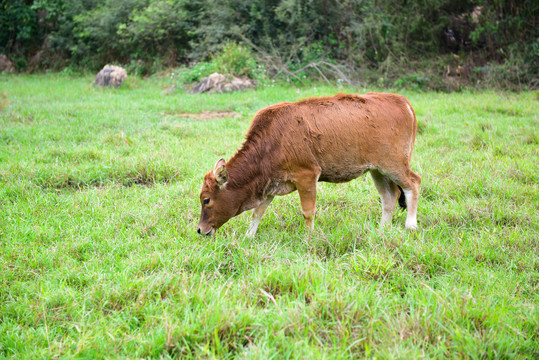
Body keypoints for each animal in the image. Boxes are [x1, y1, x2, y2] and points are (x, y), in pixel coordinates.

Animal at [197, 93, 422, 236]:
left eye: (206, 200)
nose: (200, 229)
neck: (273, 141)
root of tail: (402, 101)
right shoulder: (269, 184)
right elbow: (257, 212)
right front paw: (249, 236)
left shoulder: (307, 176)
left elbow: (307, 212)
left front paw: (309, 238)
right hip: (377, 170)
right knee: (390, 197)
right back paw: (382, 230)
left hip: (395, 165)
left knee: (414, 183)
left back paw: (410, 225)